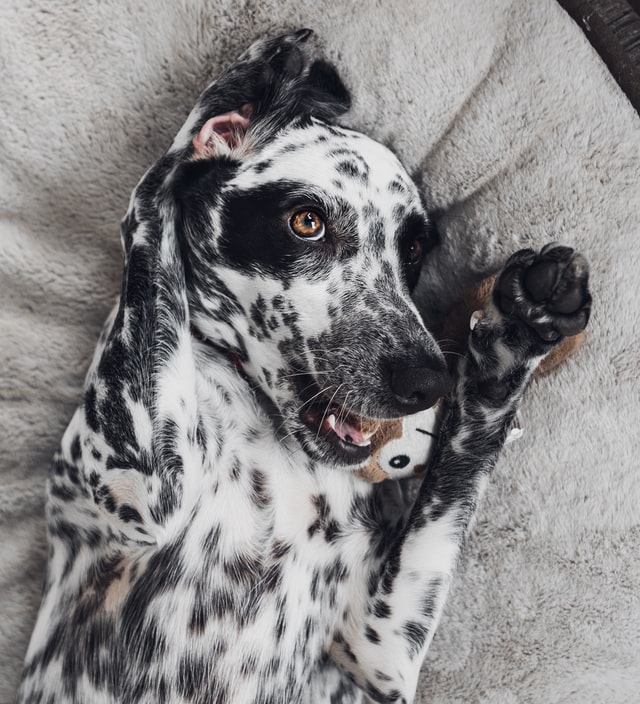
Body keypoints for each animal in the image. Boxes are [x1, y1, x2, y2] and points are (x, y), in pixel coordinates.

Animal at [17, 28, 592, 704]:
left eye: (412, 248)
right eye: (307, 222)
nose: (426, 382)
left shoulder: (378, 654)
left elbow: (464, 461)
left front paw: (515, 336)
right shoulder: (138, 484)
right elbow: (152, 192)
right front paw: (251, 77)